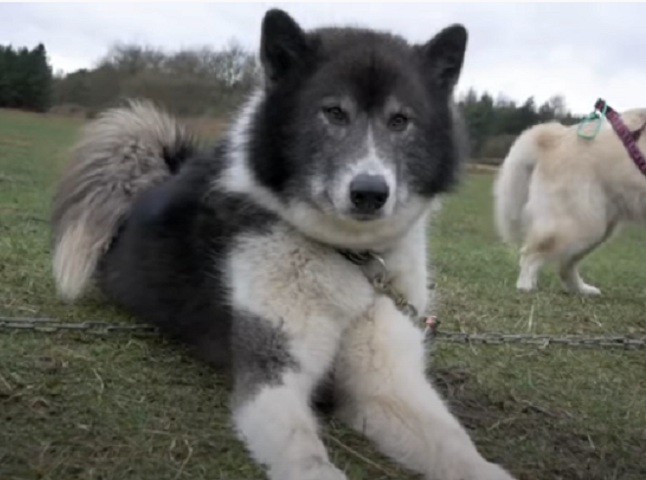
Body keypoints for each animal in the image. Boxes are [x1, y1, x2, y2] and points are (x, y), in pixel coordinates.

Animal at [52, 8, 516, 480]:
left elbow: (456, 446)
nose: (369, 192)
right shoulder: (272, 376)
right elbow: (306, 456)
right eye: (333, 113)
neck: (351, 257)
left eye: (400, 120)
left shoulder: (388, 383)